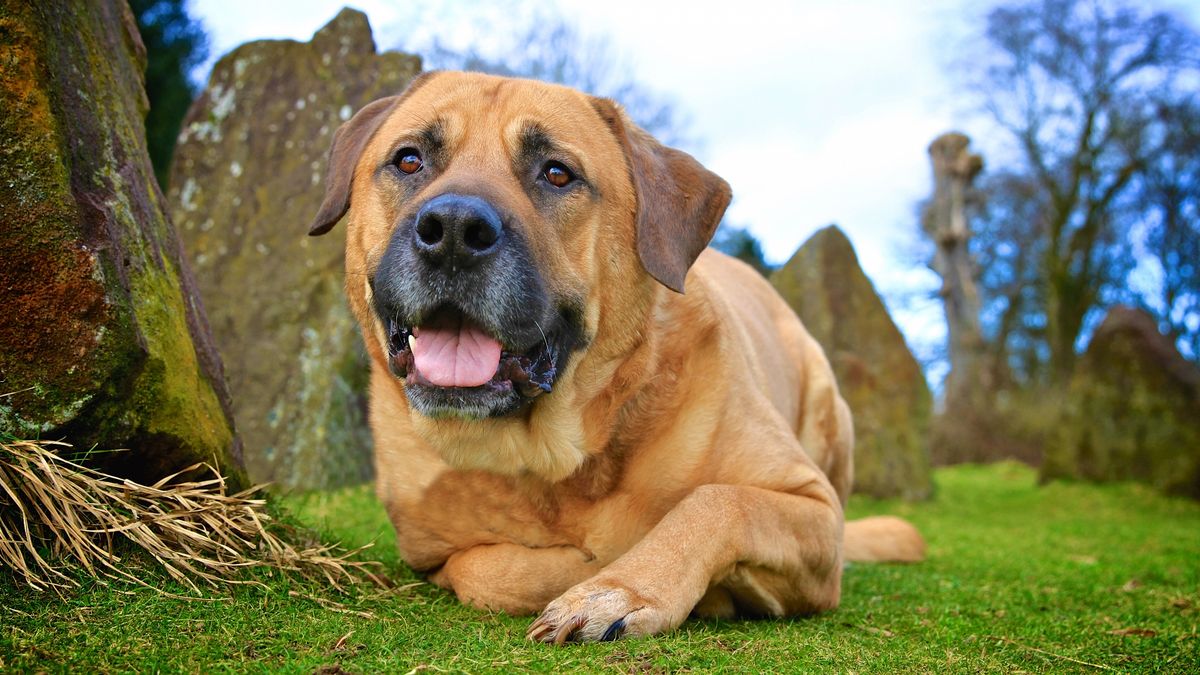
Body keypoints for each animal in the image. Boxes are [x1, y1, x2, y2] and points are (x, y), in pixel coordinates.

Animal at [304, 69, 921, 638]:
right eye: (409, 160)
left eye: (557, 172)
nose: (453, 230)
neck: (551, 457)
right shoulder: (429, 548)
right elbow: (488, 569)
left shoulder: (816, 510)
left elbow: (718, 502)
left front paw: (620, 590)